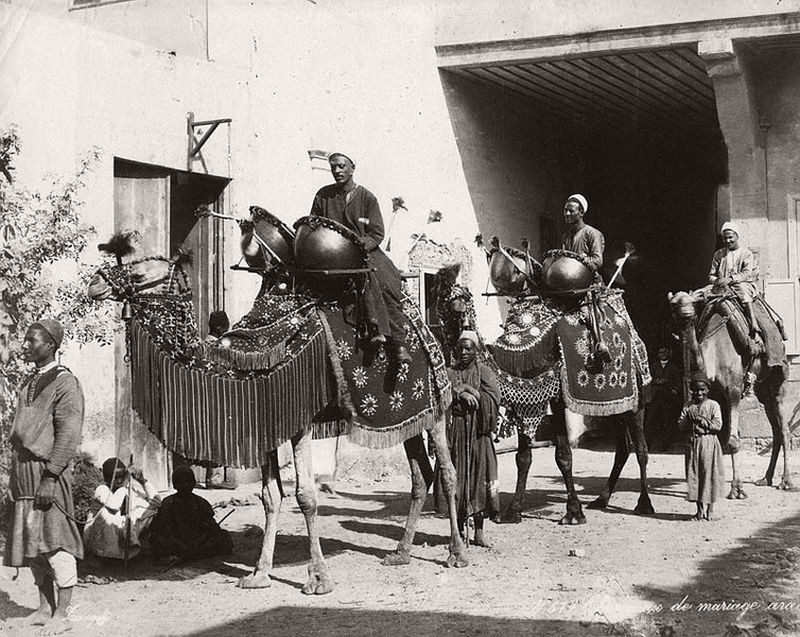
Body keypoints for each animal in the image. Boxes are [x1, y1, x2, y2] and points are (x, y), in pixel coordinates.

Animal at [89, 212, 468, 592]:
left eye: (140, 274)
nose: (94, 283)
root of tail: (425, 329)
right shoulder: (268, 419)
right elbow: (270, 497)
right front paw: (259, 573)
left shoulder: (298, 420)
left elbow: (306, 496)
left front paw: (318, 578)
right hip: (407, 416)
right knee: (420, 474)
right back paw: (401, 553)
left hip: (436, 409)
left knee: (448, 472)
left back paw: (457, 553)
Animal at [434, 236, 652, 524]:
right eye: (441, 297)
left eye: (454, 298)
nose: (439, 324)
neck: (521, 349)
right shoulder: (524, 403)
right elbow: (523, 456)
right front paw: (513, 510)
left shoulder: (557, 396)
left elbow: (564, 455)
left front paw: (573, 512)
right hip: (615, 405)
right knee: (623, 447)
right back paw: (601, 499)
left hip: (637, 397)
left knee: (641, 448)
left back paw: (644, 503)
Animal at [668, 288, 792, 496]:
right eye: (674, 304)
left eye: (692, 302)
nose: (685, 313)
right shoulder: (711, 394)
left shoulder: (733, 390)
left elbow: (732, 440)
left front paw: (737, 489)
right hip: (763, 390)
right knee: (775, 430)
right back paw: (765, 478)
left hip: (778, 380)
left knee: (784, 430)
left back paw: (787, 481)